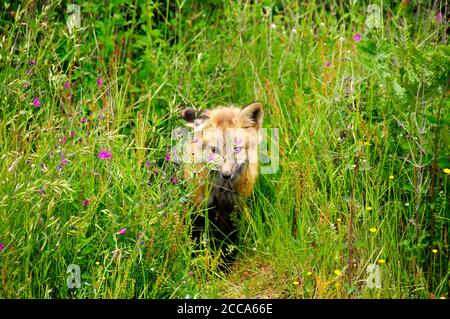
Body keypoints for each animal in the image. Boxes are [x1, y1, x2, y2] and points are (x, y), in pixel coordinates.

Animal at [180, 104, 264, 244]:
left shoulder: (235, 207)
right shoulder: (202, 205)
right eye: (214, 150)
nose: (226, 174)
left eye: (236, 148)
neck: (222, 192)